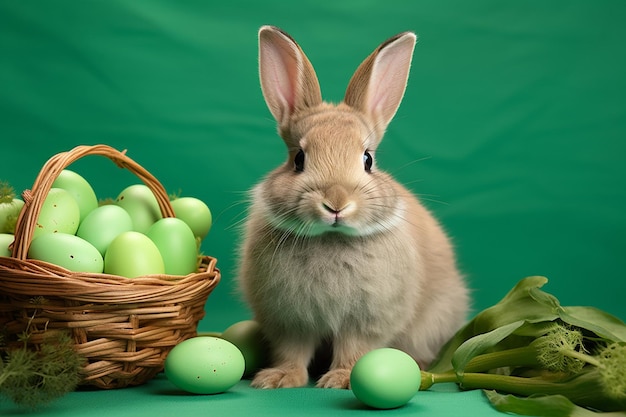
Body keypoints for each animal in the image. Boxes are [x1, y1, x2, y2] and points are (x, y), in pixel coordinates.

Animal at [236, 25, 466, 390]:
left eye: (368, 160)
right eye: (298, 159)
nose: (336, 203)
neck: (331, 238)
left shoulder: (366, 320)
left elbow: (354, 348)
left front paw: (341, 379)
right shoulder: (290, 321)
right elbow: (293, 350)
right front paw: (278, 379)